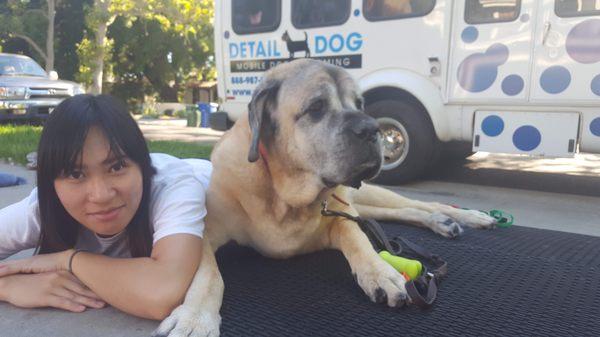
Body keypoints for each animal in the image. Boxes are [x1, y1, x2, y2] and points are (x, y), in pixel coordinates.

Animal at [152, 59, 494, 334]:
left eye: (359, 103)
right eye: (316, 107)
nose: (374, 130)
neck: (283, 196)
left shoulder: (338, 218)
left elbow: (356, 239)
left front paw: (381, 273)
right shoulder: (204, 232)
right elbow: (208, 275)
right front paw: (195, 319)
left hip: (368, 195)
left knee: (419, 204)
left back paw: (462, 216)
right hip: (364, 204)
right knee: (401, 212)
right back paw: (443, 222)